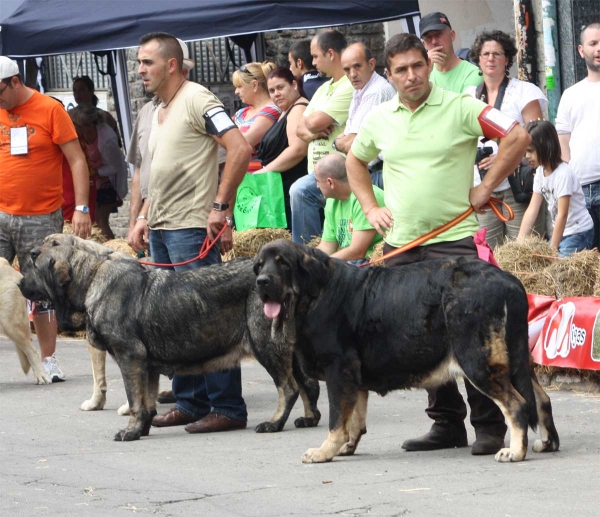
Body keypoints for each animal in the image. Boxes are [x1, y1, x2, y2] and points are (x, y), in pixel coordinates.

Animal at [252, 241, 556, 464]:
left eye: (283, 262)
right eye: (259, 265)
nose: (262, 281)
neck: (315, 293)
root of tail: (509, 282)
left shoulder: (339, 370)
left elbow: (337, 419)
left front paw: (325, 451)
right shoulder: (354, 377)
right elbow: (354, 419)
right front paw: (346, 446)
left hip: (477, 361)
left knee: (517, 404)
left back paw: (515, 452)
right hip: (516, 360)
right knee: (541, 400)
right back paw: (547, 442)